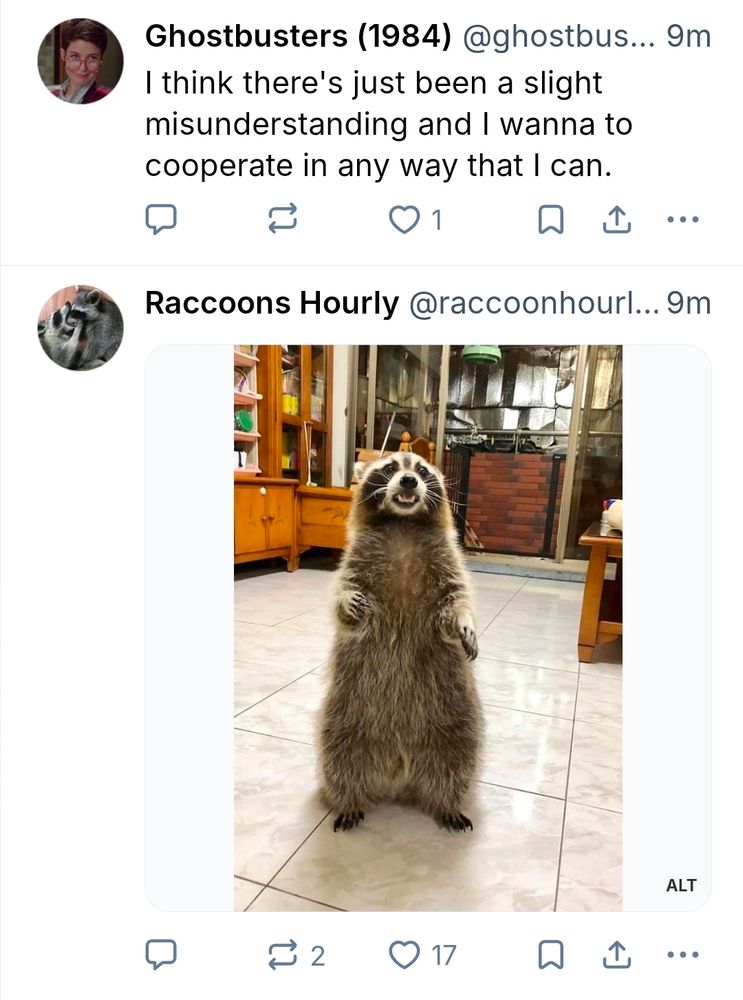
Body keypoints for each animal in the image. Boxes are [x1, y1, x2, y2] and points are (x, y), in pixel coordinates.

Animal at [319, 451, 483, 833]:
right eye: (391, 467)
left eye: (421, 470)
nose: (409, 480)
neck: (403, 526)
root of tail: (398, 769)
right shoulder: (354, 561)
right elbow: (342, 598)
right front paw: (347, 605)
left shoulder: (448, 563)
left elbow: (456, 601)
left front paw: (465, 621)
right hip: (346, 714)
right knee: (339, 755)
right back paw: (347, 799)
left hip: (456, 714)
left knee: (458, 758)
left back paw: (447, 803)